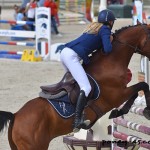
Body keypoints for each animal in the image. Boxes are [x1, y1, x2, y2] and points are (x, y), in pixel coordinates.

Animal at [0, 20, 150, 149]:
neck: (110, 62)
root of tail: (16, 116)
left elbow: (140, 87)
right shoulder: (117, 95)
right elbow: (141, 86)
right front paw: (129, 111)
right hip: (36, 146)